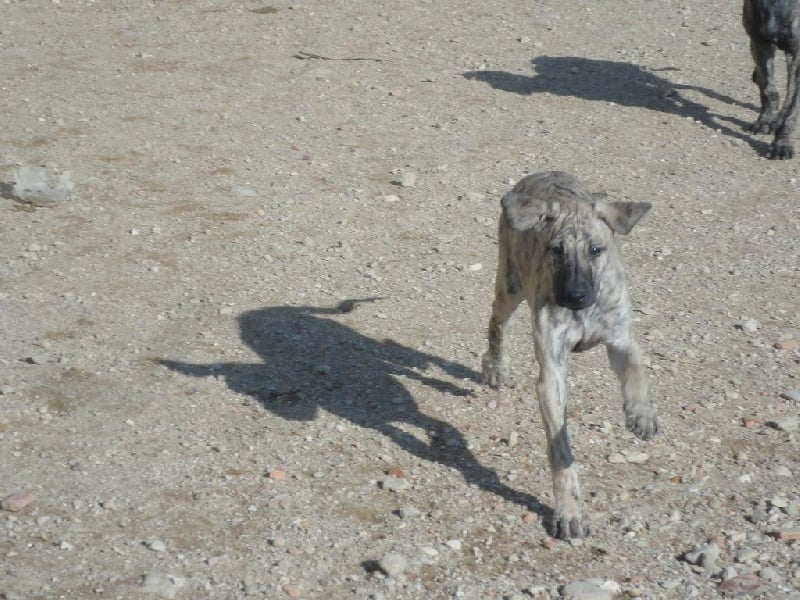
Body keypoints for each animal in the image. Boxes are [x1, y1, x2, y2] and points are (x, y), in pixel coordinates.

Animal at [744, 0, 800, 159]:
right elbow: (769, 89)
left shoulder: (797, 56)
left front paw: (781, 144)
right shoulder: (760, 42)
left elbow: (790, 109)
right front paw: (766, 120)